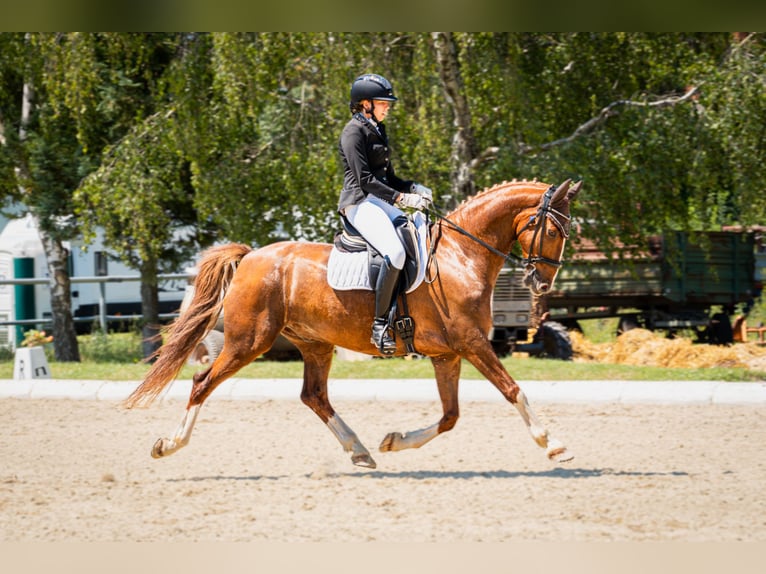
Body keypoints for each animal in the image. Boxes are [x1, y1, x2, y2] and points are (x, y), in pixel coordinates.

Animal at [125, 178, 582, 469]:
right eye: (553, 231)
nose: (541, 283)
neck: (461, 256)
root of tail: (252, 255)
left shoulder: (447, 354)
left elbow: (450, 416)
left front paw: (395, 441)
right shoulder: (471, 343)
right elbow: (512, 390)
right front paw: (554, 445)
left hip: (314, 344)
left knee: (314, 396)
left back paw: (360, 450)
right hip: (248, 341)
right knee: (202, 382)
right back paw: (168, 445)